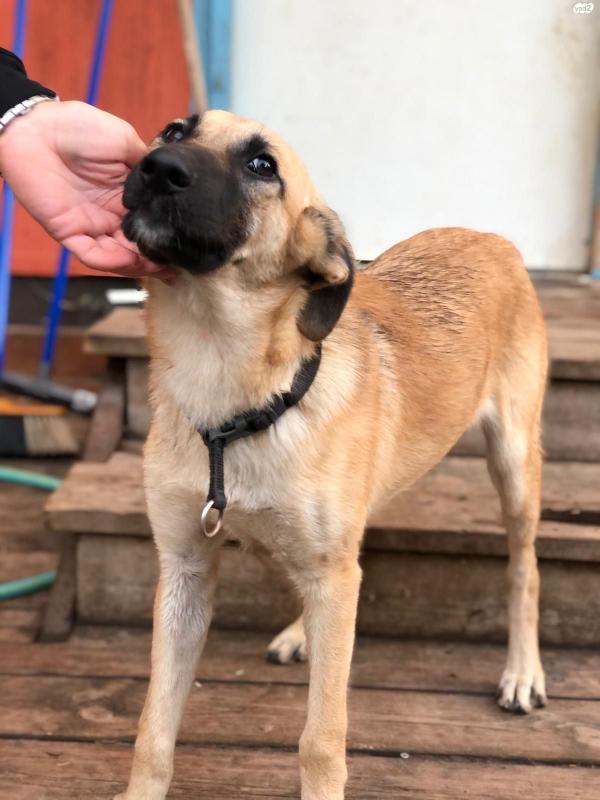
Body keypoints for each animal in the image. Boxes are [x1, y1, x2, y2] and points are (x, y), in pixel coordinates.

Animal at [116, 110, 548, 800]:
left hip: (513, 460)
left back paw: (523, 671)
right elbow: (153, 731)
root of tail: (490, 237)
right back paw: (303, 632)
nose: (158, 169)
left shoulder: (329, 569)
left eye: (262, 165)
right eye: (175, 129)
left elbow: (321, 738)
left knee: (523, 568)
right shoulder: (185, 569)